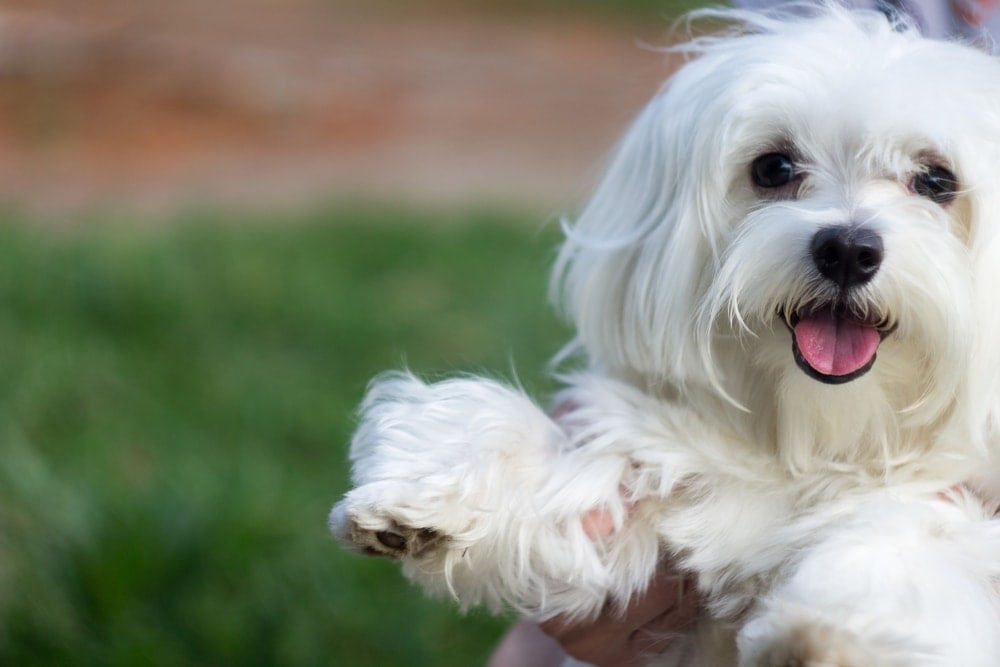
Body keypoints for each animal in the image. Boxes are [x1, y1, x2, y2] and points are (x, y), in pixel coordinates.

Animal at [332, 6, 1000, 667]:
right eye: (774, 168)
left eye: (936, 181)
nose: (846, 249)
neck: (813, 442)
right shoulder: (654, 491)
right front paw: (431, 488)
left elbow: (914, 541)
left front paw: (834, 632)